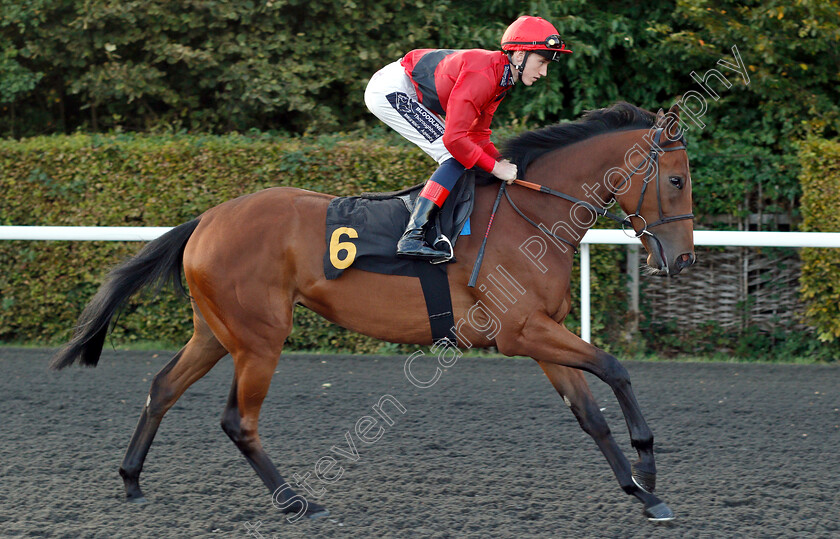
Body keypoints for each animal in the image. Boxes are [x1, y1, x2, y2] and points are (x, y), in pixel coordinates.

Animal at [52, 101, 696, 524]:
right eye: (677, 180)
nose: (684, 258)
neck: (528, 216)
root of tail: (207, 219)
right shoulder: (522, 331)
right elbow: (615, 368)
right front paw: (648, 466)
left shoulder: (540, 333)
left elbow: (590, 415)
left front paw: (642, 491)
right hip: (260, 338)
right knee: (239, 421)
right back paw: (298, 502)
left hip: (216, 332)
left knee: (163, 387)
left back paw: (132, 481)